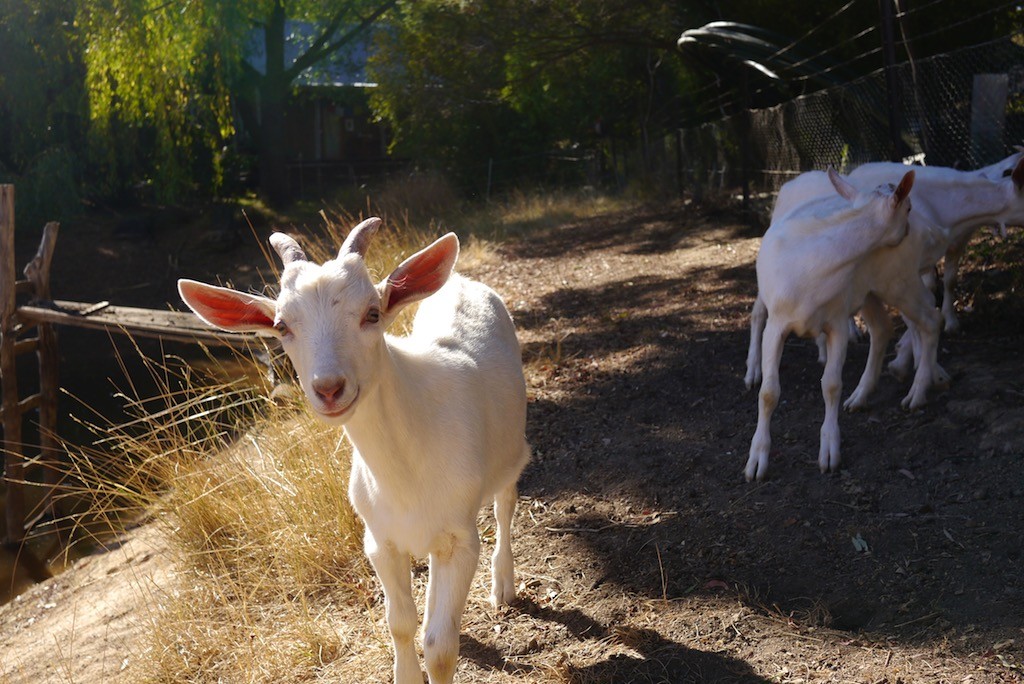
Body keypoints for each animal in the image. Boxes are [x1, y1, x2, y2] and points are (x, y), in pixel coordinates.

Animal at [178, 219, 528, 684]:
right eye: (282, 326)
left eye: (372, 314)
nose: (328, 388)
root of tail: (461, 280)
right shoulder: (379, 539)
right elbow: (400, 623)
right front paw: (406, 673)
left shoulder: (459, 537)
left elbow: (440, 646)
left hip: (511, 449)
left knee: (506, 504)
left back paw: (503, 584)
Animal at [745, 169, 937, 481]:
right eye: (907, 207)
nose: (909, 231)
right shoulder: (778, 324)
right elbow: (769, 392)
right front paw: (756, 461)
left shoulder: (836, 321)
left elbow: (832, 385)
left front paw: (829, 452)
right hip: (876, 288)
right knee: (758, 312)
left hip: (894, 283)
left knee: (925, 320)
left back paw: (911, 394)